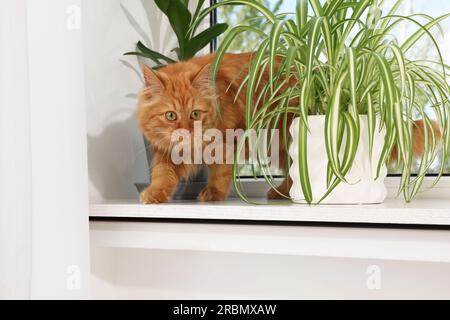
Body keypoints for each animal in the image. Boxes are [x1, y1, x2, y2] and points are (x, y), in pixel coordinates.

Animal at [137, 52, 440, 202]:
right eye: (171, 116)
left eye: (195, 114)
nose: (186, 132)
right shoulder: (164, 153)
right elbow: (163, 175)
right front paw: (155, 195)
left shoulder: (227, 139)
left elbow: (220, 173)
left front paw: (213, 194)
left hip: (284, 135)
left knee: (296, 174)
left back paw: (282, 193)